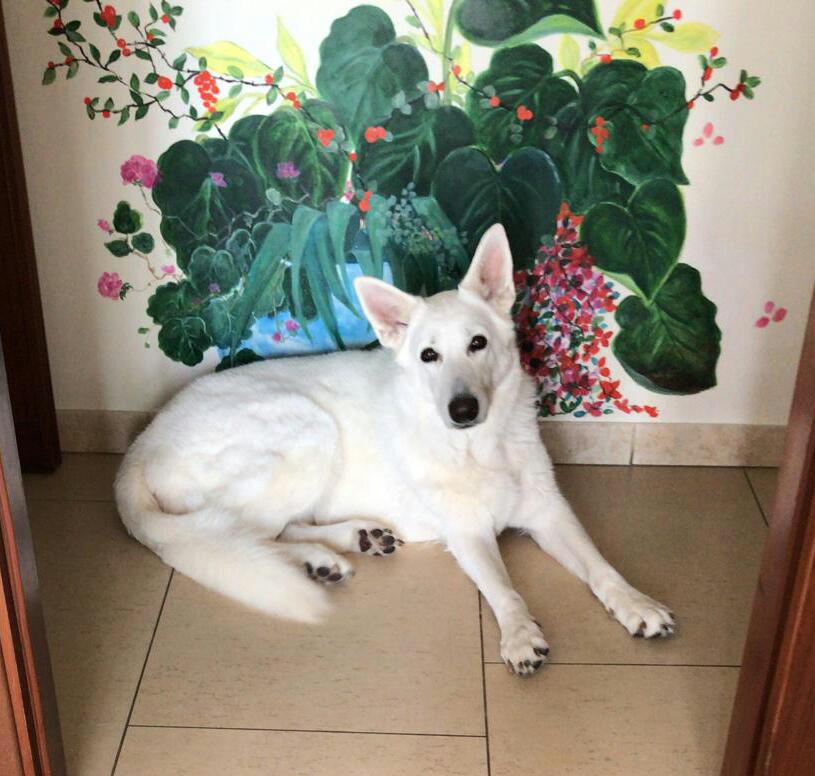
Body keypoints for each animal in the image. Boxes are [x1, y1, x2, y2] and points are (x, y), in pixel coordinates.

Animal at [115, 224, 675, 675]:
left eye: (477, 343)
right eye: (428, 355)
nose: (463, 409)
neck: (476, 447)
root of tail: (141, 445)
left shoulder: (550, 512)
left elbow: (601, 566)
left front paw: (636, 604)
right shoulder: (468, 534)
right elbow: (504, 587)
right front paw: (520, 635)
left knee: (270, 529)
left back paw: (348, 542)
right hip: (307, 428)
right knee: (247, 534)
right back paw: (317, 558)